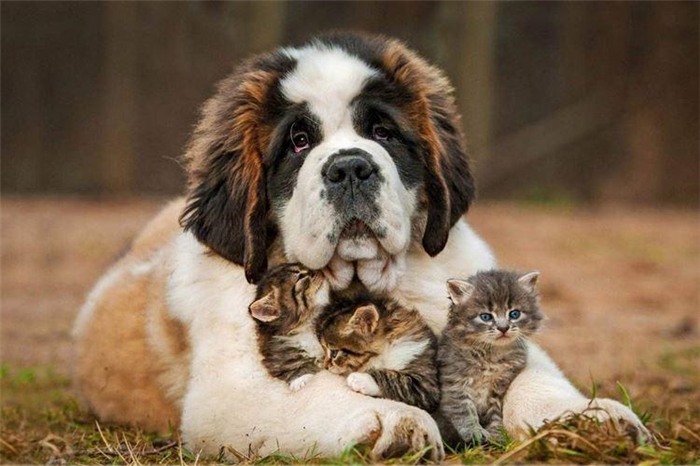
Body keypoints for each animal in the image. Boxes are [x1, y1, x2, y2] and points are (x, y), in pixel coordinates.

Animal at [248, 263, 330, 391]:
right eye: (300, 276)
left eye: (302, 266)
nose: (319, 270)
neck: (305, 326)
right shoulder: (275, 354)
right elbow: (290, 365)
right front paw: (300, 380)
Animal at [438, 269, 544, 445]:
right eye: (486, 317)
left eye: (514, 314)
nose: (503, 328)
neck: (491, 354)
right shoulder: (454, 382)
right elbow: (464, 410)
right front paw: (475, 432)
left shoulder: (499, 388)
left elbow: (495, 414)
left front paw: (497, 434)